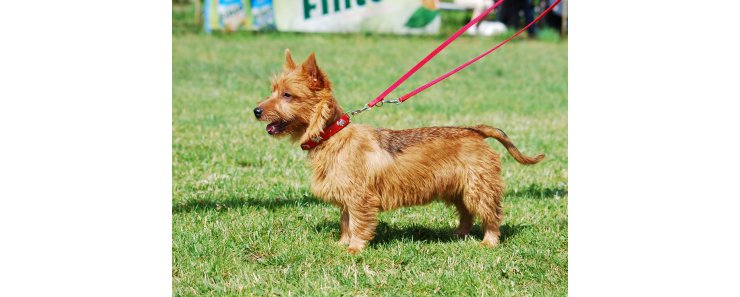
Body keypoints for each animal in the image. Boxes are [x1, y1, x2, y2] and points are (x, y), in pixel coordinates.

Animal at [254, 49, 544, 252]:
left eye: (287, 95)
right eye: (273, 91)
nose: (256, 110)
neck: (333, 135)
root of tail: (475, 131)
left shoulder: (360, 197)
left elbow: (358, 223)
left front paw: (354, 249)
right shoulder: (347, 197)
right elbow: (346, 222)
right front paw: (342, 244)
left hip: (478, 188)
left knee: (491, 215)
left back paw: (489, 241)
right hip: (459, 190)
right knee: (466, 214)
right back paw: (458, 235)